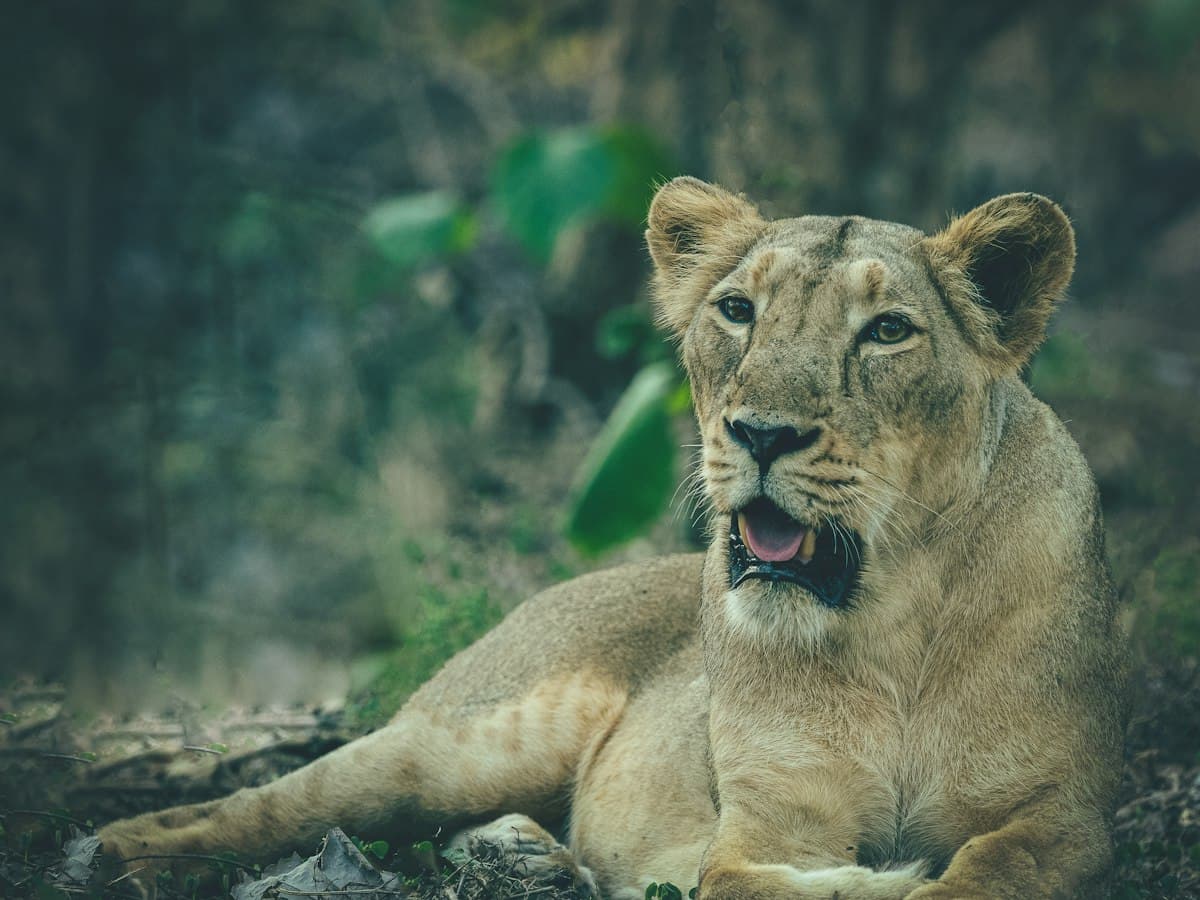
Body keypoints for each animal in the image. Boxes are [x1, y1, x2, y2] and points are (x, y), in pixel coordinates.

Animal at [98, 178, 1127, 899]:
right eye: (737, 310)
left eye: (886, 332)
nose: (760, 434)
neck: (894, 622)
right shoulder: (762, 827)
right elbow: (748, 880)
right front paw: (884, 878)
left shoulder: (1069, 816)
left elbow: (995, 872)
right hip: (458, 747)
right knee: (249, 809)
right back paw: (113, 856)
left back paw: (529, 859)